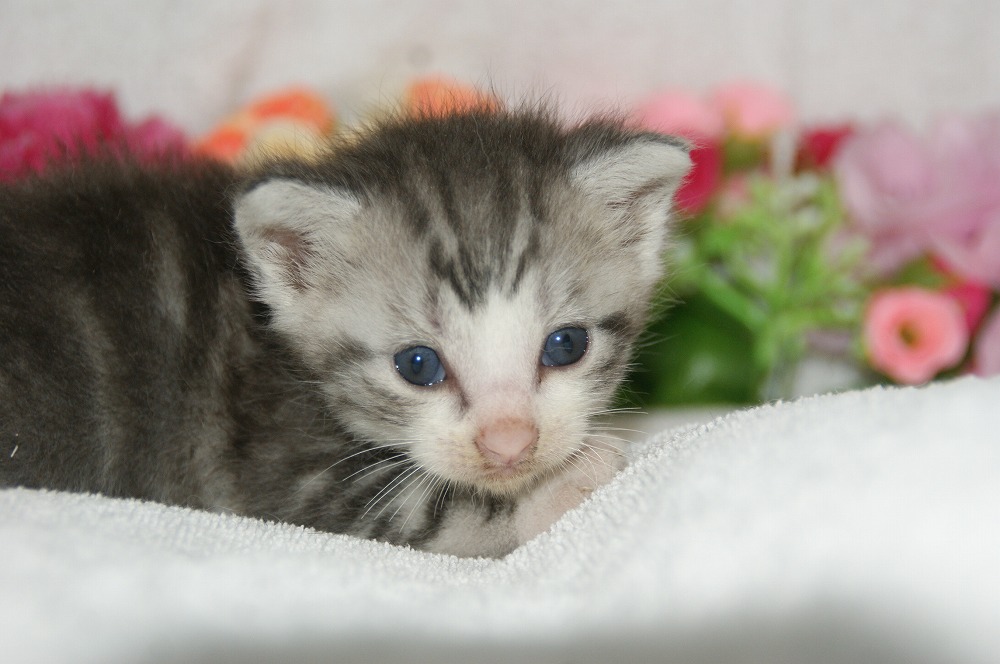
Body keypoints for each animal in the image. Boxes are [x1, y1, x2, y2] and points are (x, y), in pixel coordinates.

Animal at [0, 109, 688, 556]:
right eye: (417, 365)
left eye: (565, 346)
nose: (509, 443)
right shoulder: (274, 472)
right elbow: (435, 516)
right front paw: (571, 480)